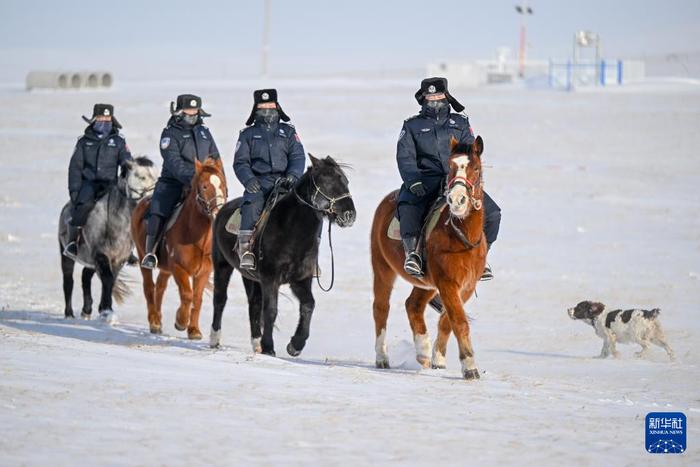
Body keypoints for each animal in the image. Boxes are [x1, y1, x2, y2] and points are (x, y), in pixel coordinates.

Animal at [58, 156, 157, 322]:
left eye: (156, 177)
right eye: (141, 176)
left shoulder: (118, 259)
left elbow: (111, 280)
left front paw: (105, 309)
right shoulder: (101, 255)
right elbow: (108, 280)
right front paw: (106, 311)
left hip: (91, 261)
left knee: (85, 277)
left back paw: (86, 311)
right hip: (67, 255)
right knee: (68, 281)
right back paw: (69, 314)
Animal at [131, 157, 227, 340]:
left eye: (223, 186)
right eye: (204, 186)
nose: (218, 213)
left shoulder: (203, 272)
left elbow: (197, 299)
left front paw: (194, 330)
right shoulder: (179, 268)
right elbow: (187, 295)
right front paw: (181, 322)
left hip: (165, 268)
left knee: (160, 287)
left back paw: (159, 319)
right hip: (142, 257)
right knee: (149, 288)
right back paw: (154, 322)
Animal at [209, 155, 356, 356]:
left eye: (346, 181)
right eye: (327, 183)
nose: (350, 215)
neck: (291, 231)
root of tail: (223, 209)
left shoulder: (300, 280)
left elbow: (308, 305)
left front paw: (295, 345)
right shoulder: (270, 278)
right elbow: (271, 310)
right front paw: (269, 347)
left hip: (251, 277)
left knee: (254, 305)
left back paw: (256, 344)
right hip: (222, 265)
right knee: (220, 299)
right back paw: (215, 340)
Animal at [372, 134, 486, 380]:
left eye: (475, 168)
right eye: (451, 167)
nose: (457, 199)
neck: (460, 236)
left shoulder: (465, 286)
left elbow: (447, 321)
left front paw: (438, 359)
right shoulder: (447, 283)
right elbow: (459, 322)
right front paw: (470, 367)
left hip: (426, 284)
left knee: (413, 305)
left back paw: (423, 351)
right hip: (383, 269)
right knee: (381, 308)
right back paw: (382, 358)